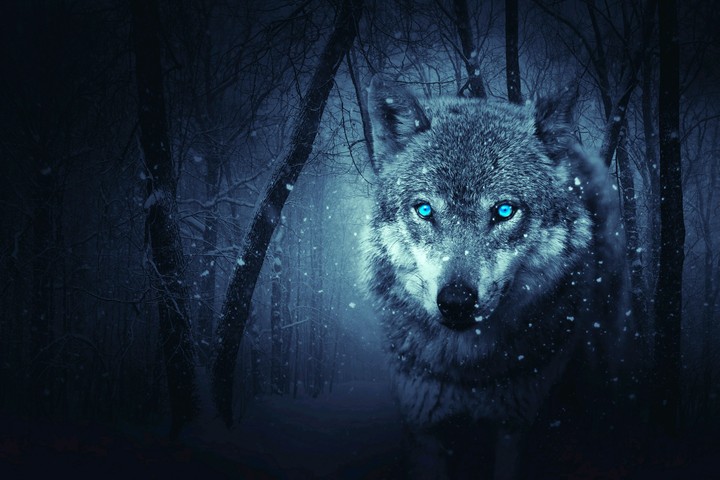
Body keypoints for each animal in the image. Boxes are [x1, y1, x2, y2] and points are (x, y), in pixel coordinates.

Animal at [363, 76, 627, 479]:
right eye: (424, 210)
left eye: (504, 211)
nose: (456, 302)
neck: (468, 372)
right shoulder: (424, 428)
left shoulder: (516, 427)